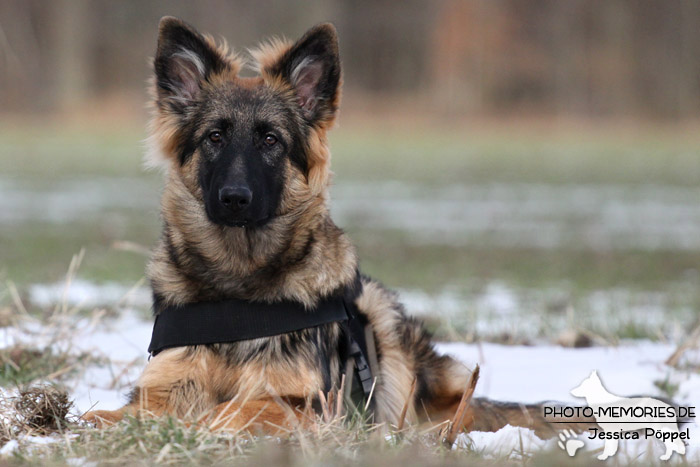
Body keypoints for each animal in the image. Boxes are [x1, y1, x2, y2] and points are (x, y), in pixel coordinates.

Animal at [83, 16, 576, 436]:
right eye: (215, 137)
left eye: (270, 140)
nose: (235, 199)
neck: (237, 286)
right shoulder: (161, 389)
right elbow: (115, 413)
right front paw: (93, 421)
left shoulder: (311, 405)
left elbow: (239, 407)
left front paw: (199, 426)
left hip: (385, 322)